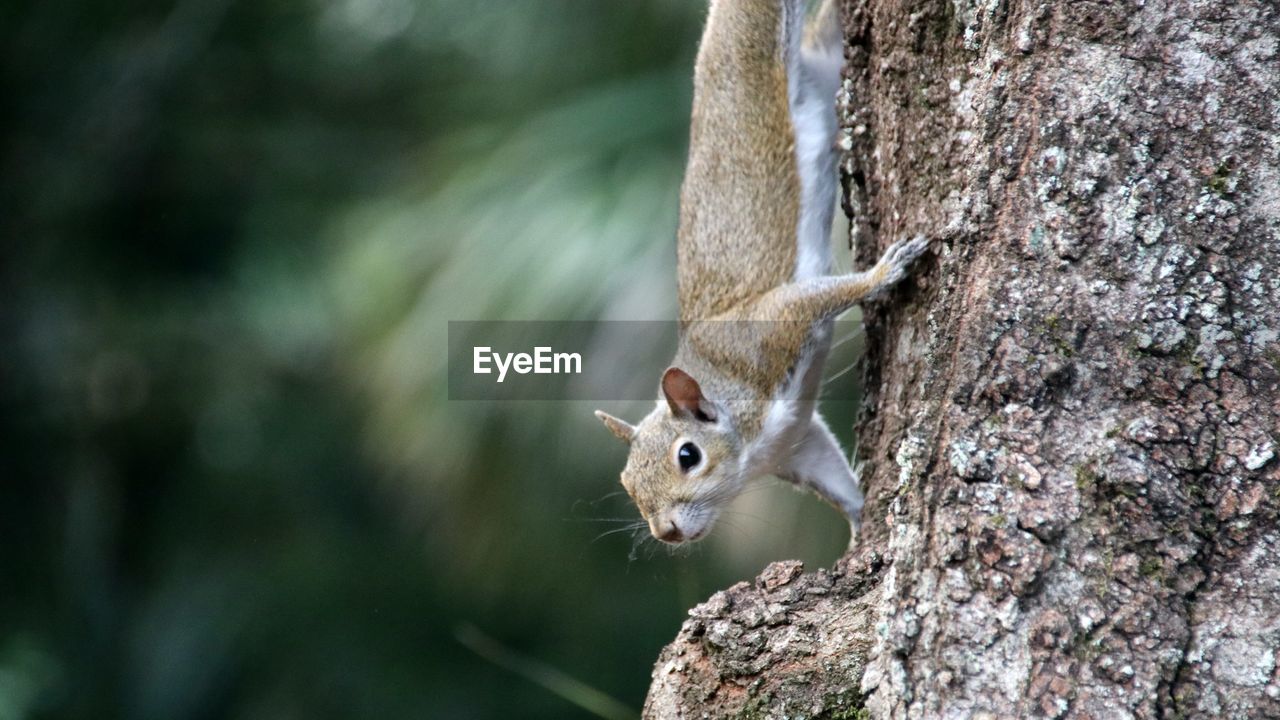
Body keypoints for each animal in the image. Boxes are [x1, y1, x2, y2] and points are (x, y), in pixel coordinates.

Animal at [593, 0, 926, 543]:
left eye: (689, 455)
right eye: (626, 482)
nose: (666, 532)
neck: (751, 444)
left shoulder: (767, 328)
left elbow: (814, 298)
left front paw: (883, 272)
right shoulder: (797, 445)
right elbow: (836, 481)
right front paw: (861, 526)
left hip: (760, 31)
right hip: (826, 59)